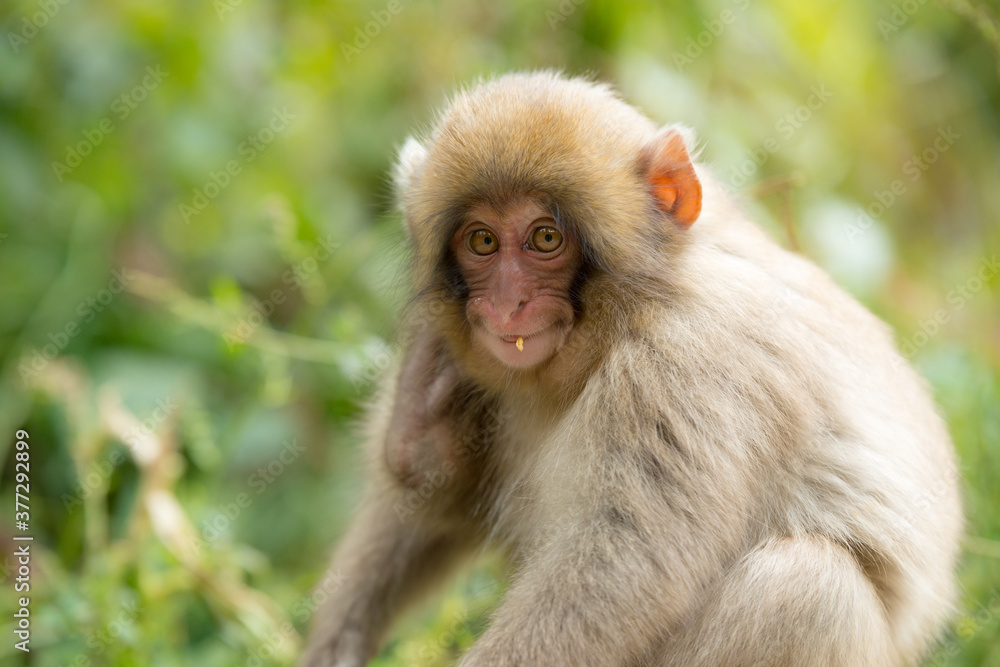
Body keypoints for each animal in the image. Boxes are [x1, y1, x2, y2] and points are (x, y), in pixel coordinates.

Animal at [300, 73, 964, 667]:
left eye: (545, 238)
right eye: (482, 241)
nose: (507, 304)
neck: (627, 313)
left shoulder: (686, 365)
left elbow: (623, 564)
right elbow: (426, 507)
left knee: (806, 589)